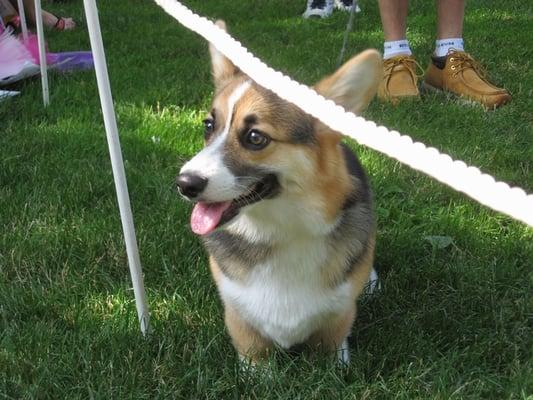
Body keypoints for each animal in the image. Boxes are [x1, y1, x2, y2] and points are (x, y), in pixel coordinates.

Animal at [177, 21, 380, 366]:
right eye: (208, 125)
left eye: (255, 137)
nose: (184, 183)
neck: (279, 231)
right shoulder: (238, 315)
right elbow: (254, 353)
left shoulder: (339, 315)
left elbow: (332, 349)